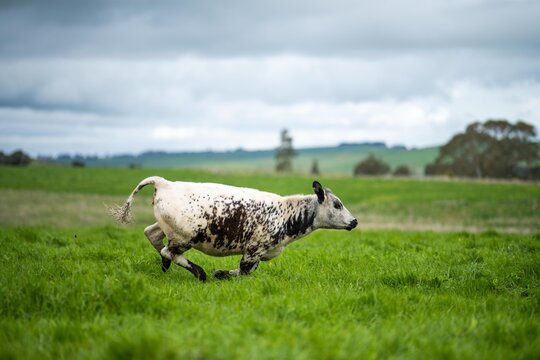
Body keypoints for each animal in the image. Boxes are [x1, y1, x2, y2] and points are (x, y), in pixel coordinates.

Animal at [108, 177, 358, 282]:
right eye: (337, 204)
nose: (354, 221)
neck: (286, 214)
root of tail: (165, 183)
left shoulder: (259, 253)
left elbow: (249, 270)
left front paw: (222, 274)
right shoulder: (254, 249)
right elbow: (245, 270)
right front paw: (219, 274)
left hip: (165, 228)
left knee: (152, 236)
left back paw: (165, 266)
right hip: (185, 236)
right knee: (169, 251)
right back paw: (200, 273)